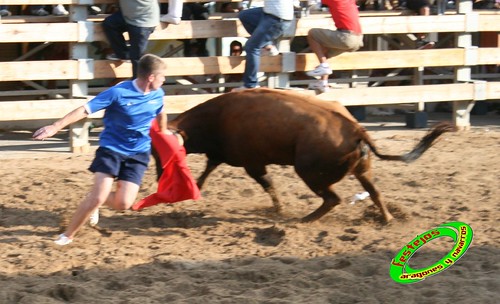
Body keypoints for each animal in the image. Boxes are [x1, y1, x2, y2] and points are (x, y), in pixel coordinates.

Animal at [163, 88, 454, 223]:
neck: (219, 116)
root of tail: (356, 129)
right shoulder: (221, 154)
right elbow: (207, 170)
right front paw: (194, 188)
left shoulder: (252, 163)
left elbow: (268, 184)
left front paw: (279, 209)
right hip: (363, 170)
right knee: (375, 192)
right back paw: (387, 218)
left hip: (311, 173)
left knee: (332, 199)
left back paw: (306, 219)